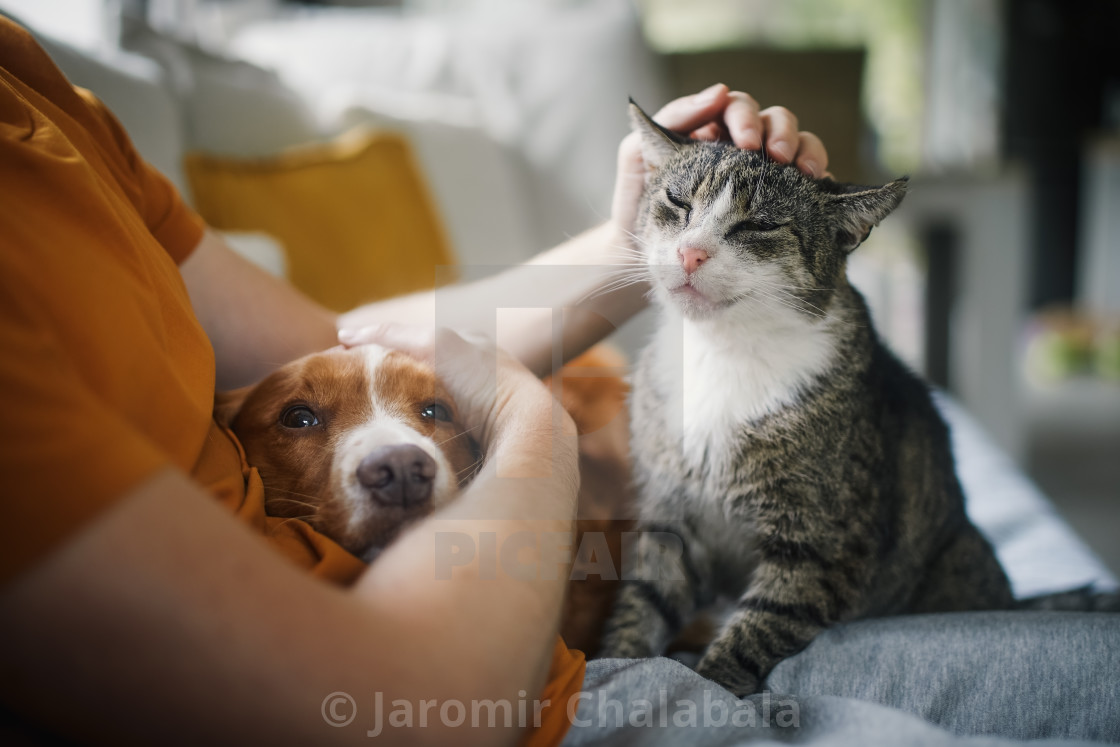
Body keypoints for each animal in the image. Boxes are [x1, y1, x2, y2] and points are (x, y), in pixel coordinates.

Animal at [600, 103, 1021, 694]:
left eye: (758, 225)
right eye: (677, 202)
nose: (689, 253)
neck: (723, 351)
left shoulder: (823, 547)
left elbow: (754, 631)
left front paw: (709, 690)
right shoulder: (670, 516)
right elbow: (642, 605)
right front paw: (615, 666)